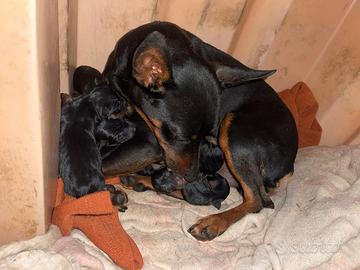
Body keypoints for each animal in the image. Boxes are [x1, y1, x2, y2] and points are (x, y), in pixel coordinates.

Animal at [98, 21, 298, 240]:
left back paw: (214, 223)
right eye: (181, 138)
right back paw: (140, 181)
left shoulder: (148, 144)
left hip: (235, 131)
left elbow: (98, 167)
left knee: (257, 200)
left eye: (207, 136)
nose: (194, 175)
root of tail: (289, 167)